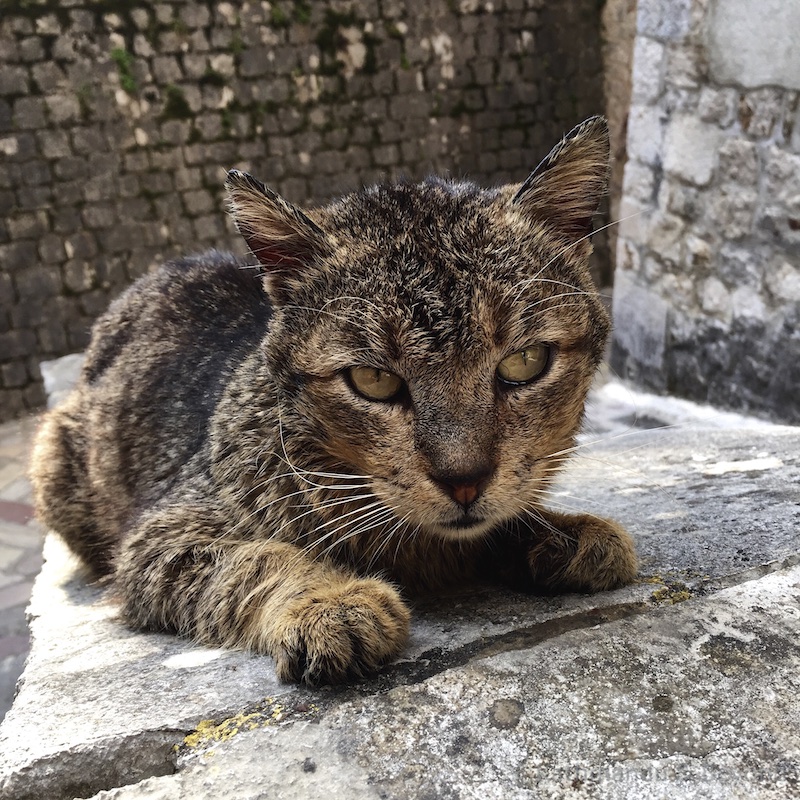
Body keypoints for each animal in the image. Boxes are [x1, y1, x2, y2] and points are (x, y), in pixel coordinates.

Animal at [31, 115, 636, 684]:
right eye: (372, 380)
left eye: (524, 362)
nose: (464, 481)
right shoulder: (162, 536)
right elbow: (256, 559)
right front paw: (329, 601)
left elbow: (505, 513)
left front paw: (560, 532)